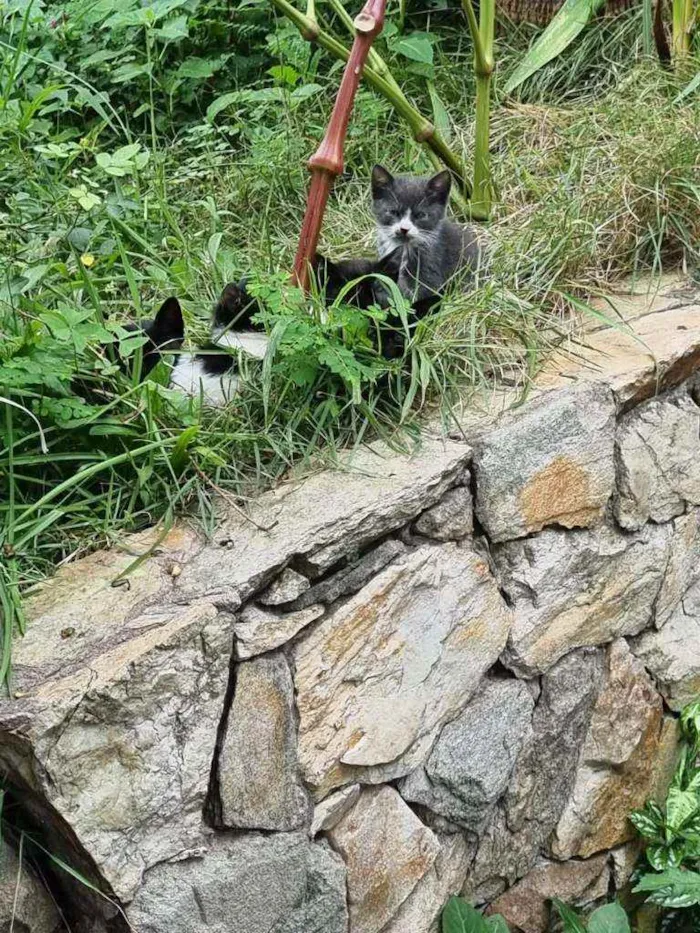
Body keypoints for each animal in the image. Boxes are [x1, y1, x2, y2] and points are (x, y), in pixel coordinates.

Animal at [372, 164, 482, 302]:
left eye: (421, 215)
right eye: (393, 212)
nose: (404, 229)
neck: (404, 248)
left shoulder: (431, 266)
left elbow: (422, 293)